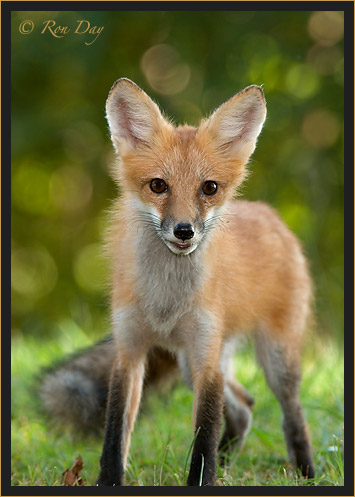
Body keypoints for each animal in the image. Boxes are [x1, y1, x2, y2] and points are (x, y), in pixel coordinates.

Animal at [40, 78, 316, 484]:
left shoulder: (206, 362)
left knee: (290, 412)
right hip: (192, 362)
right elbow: (114, 436)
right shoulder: (130, 352)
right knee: (245, 406)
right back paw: (229, 463)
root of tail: (273, 217)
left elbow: (202, 443)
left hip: (273, 358)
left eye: (209, 188)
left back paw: (306, 472)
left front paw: (204, 480)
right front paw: (109, 481)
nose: (184, 231)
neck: (165, 302)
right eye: (158, 185)